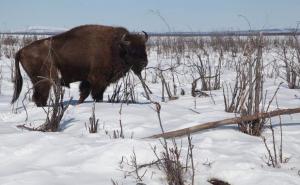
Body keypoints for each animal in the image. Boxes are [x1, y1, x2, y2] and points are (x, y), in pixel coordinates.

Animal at [11, 24, 149, 106]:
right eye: (131, 50)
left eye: (144, 47)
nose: (144, 62)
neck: (116, 47)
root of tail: (21, 51)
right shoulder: (98, 80)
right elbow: (96, 94)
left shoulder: (88, 80)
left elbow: (84, 92)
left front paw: (78, 103)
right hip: (43, 80)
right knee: (39, 96)